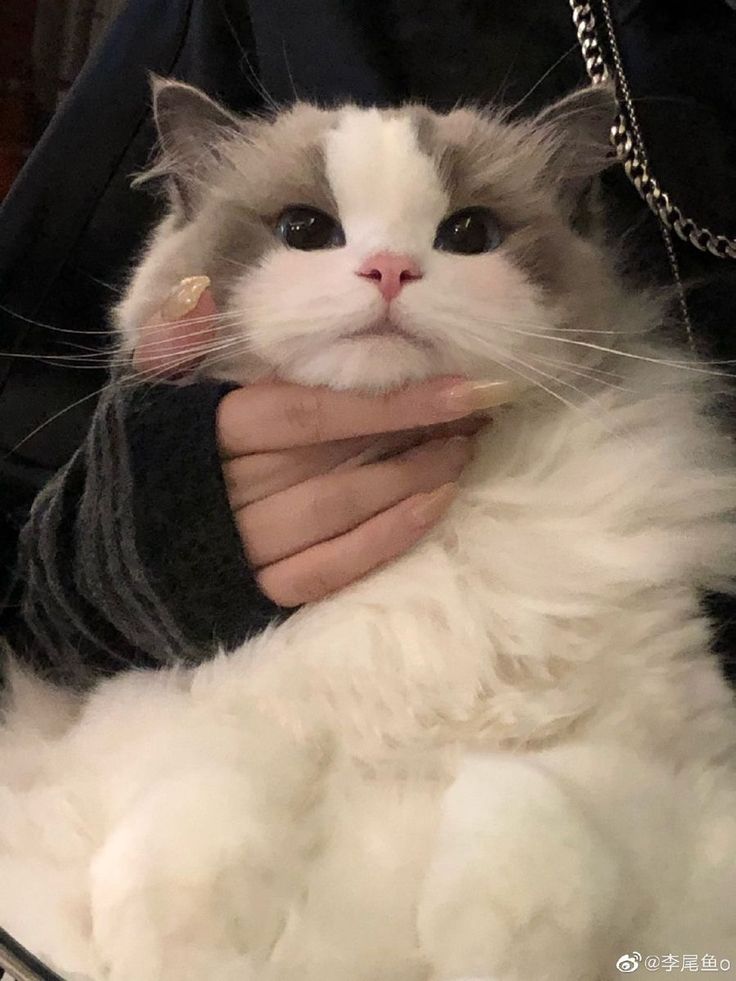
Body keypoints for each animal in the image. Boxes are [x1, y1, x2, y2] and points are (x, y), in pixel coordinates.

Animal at [1, 80, 736, 980]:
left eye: (469, 235)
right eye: (306, 231)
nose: (389, 269)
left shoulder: (658, 753)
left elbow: (536, 813)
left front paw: (494, 948)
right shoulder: (162, 698)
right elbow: (194, 803)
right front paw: (181, 947)